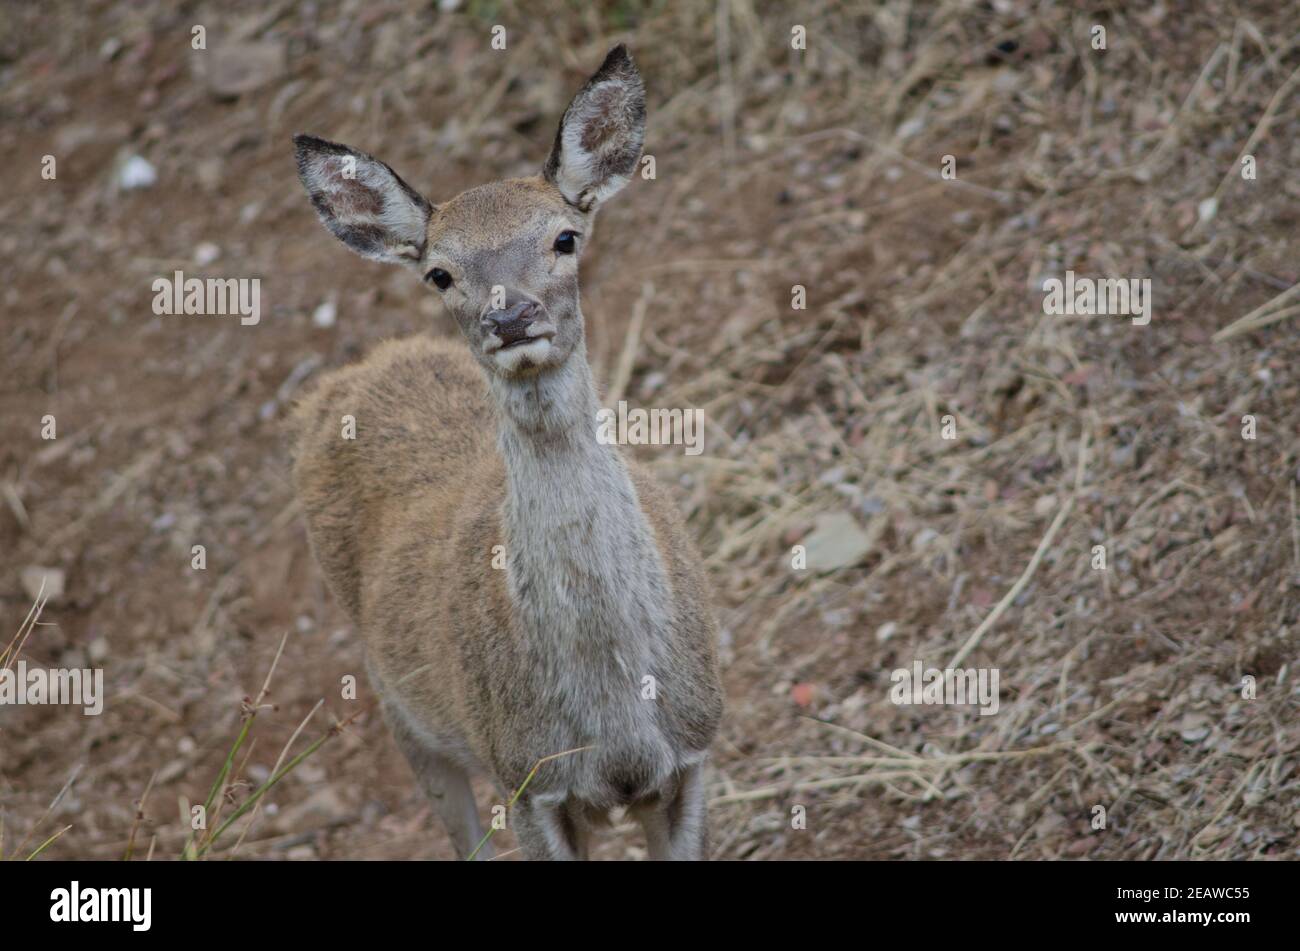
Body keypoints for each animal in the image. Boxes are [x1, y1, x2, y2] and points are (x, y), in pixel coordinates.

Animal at [288, 46, 728, 862]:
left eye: (564, 237)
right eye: (440, 272)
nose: (512, 314)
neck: (614, 708)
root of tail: (339, 382)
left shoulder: (694, 748)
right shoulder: (529, 778)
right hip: (405, 711)